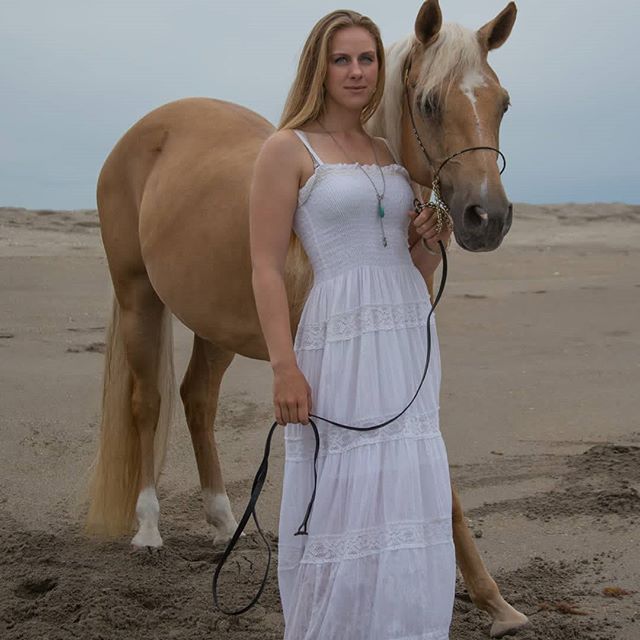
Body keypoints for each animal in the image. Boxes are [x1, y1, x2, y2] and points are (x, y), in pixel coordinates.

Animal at [90, 1, 528, 636]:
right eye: (428, 103)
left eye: (503, 102)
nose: (487, 217)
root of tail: (144, 132)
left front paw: (495, 603)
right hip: (138, 296)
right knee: (147, 403)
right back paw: (147, 528)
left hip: (218, 319)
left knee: (197, 398)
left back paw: (225, 523)